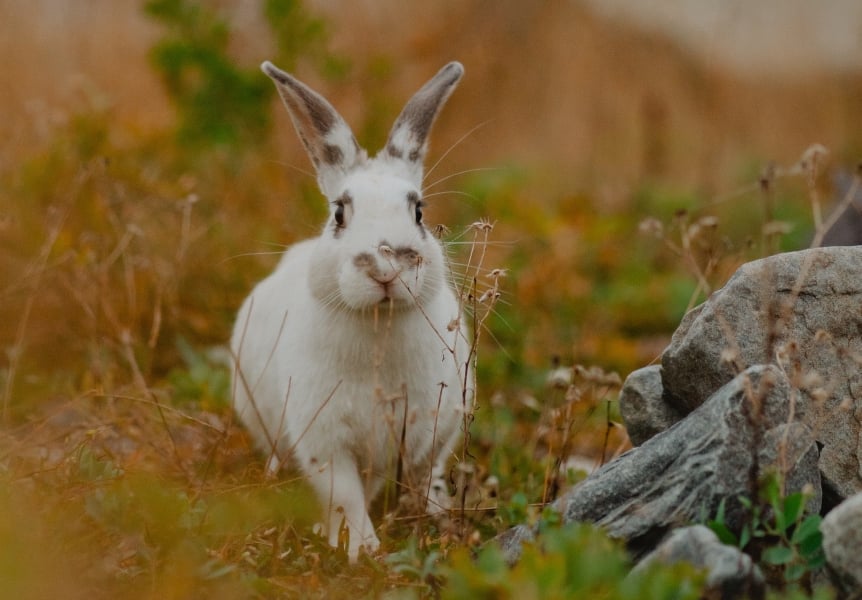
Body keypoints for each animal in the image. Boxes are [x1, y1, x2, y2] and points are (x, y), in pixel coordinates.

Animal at [230, 60, 473, 561]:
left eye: (419, 212)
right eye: (339, 214)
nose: (385, 266)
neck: (380, 325)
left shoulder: (431, 434)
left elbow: (421, 477)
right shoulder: (324, 440)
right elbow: (344, 494)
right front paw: (361, 548)